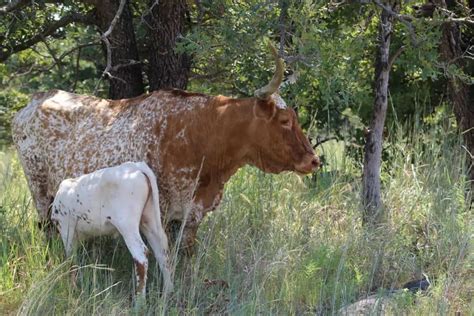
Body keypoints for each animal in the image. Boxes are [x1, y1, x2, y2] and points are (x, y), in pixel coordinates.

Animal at [12, 43, 320, 252]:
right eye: (284, 121)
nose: (314, 161)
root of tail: (36, 99)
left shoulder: (192, 214)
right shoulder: (162, 211)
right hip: (40, 191)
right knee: (47, 229)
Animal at [51, 162, 172, 298]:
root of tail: (136, 166)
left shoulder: (66, 229)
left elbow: (72, 262)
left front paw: (73, 289)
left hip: (127, 225)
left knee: (141, 255)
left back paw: (139, 299)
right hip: (149, 219)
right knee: (161, 250)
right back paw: (168, 292)